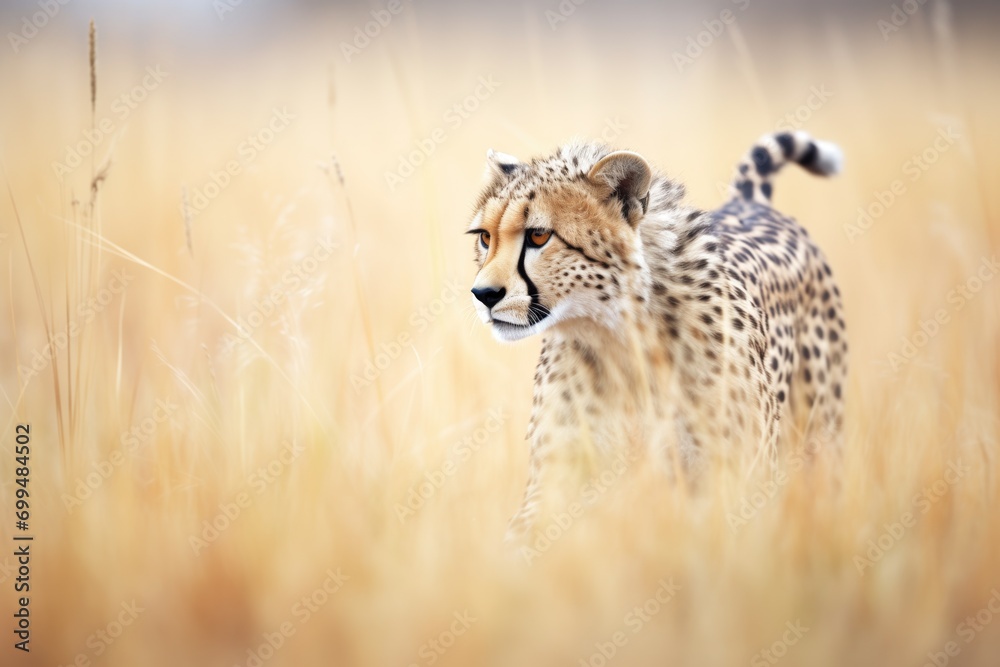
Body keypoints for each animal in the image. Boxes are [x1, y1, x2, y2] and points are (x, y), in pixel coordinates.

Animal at [465, 131, 848, 541]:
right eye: (485, 237)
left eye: (539, 236)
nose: (483, 294)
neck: (619, 336)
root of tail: (749, 202)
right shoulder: (558, 478)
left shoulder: (731, 477)